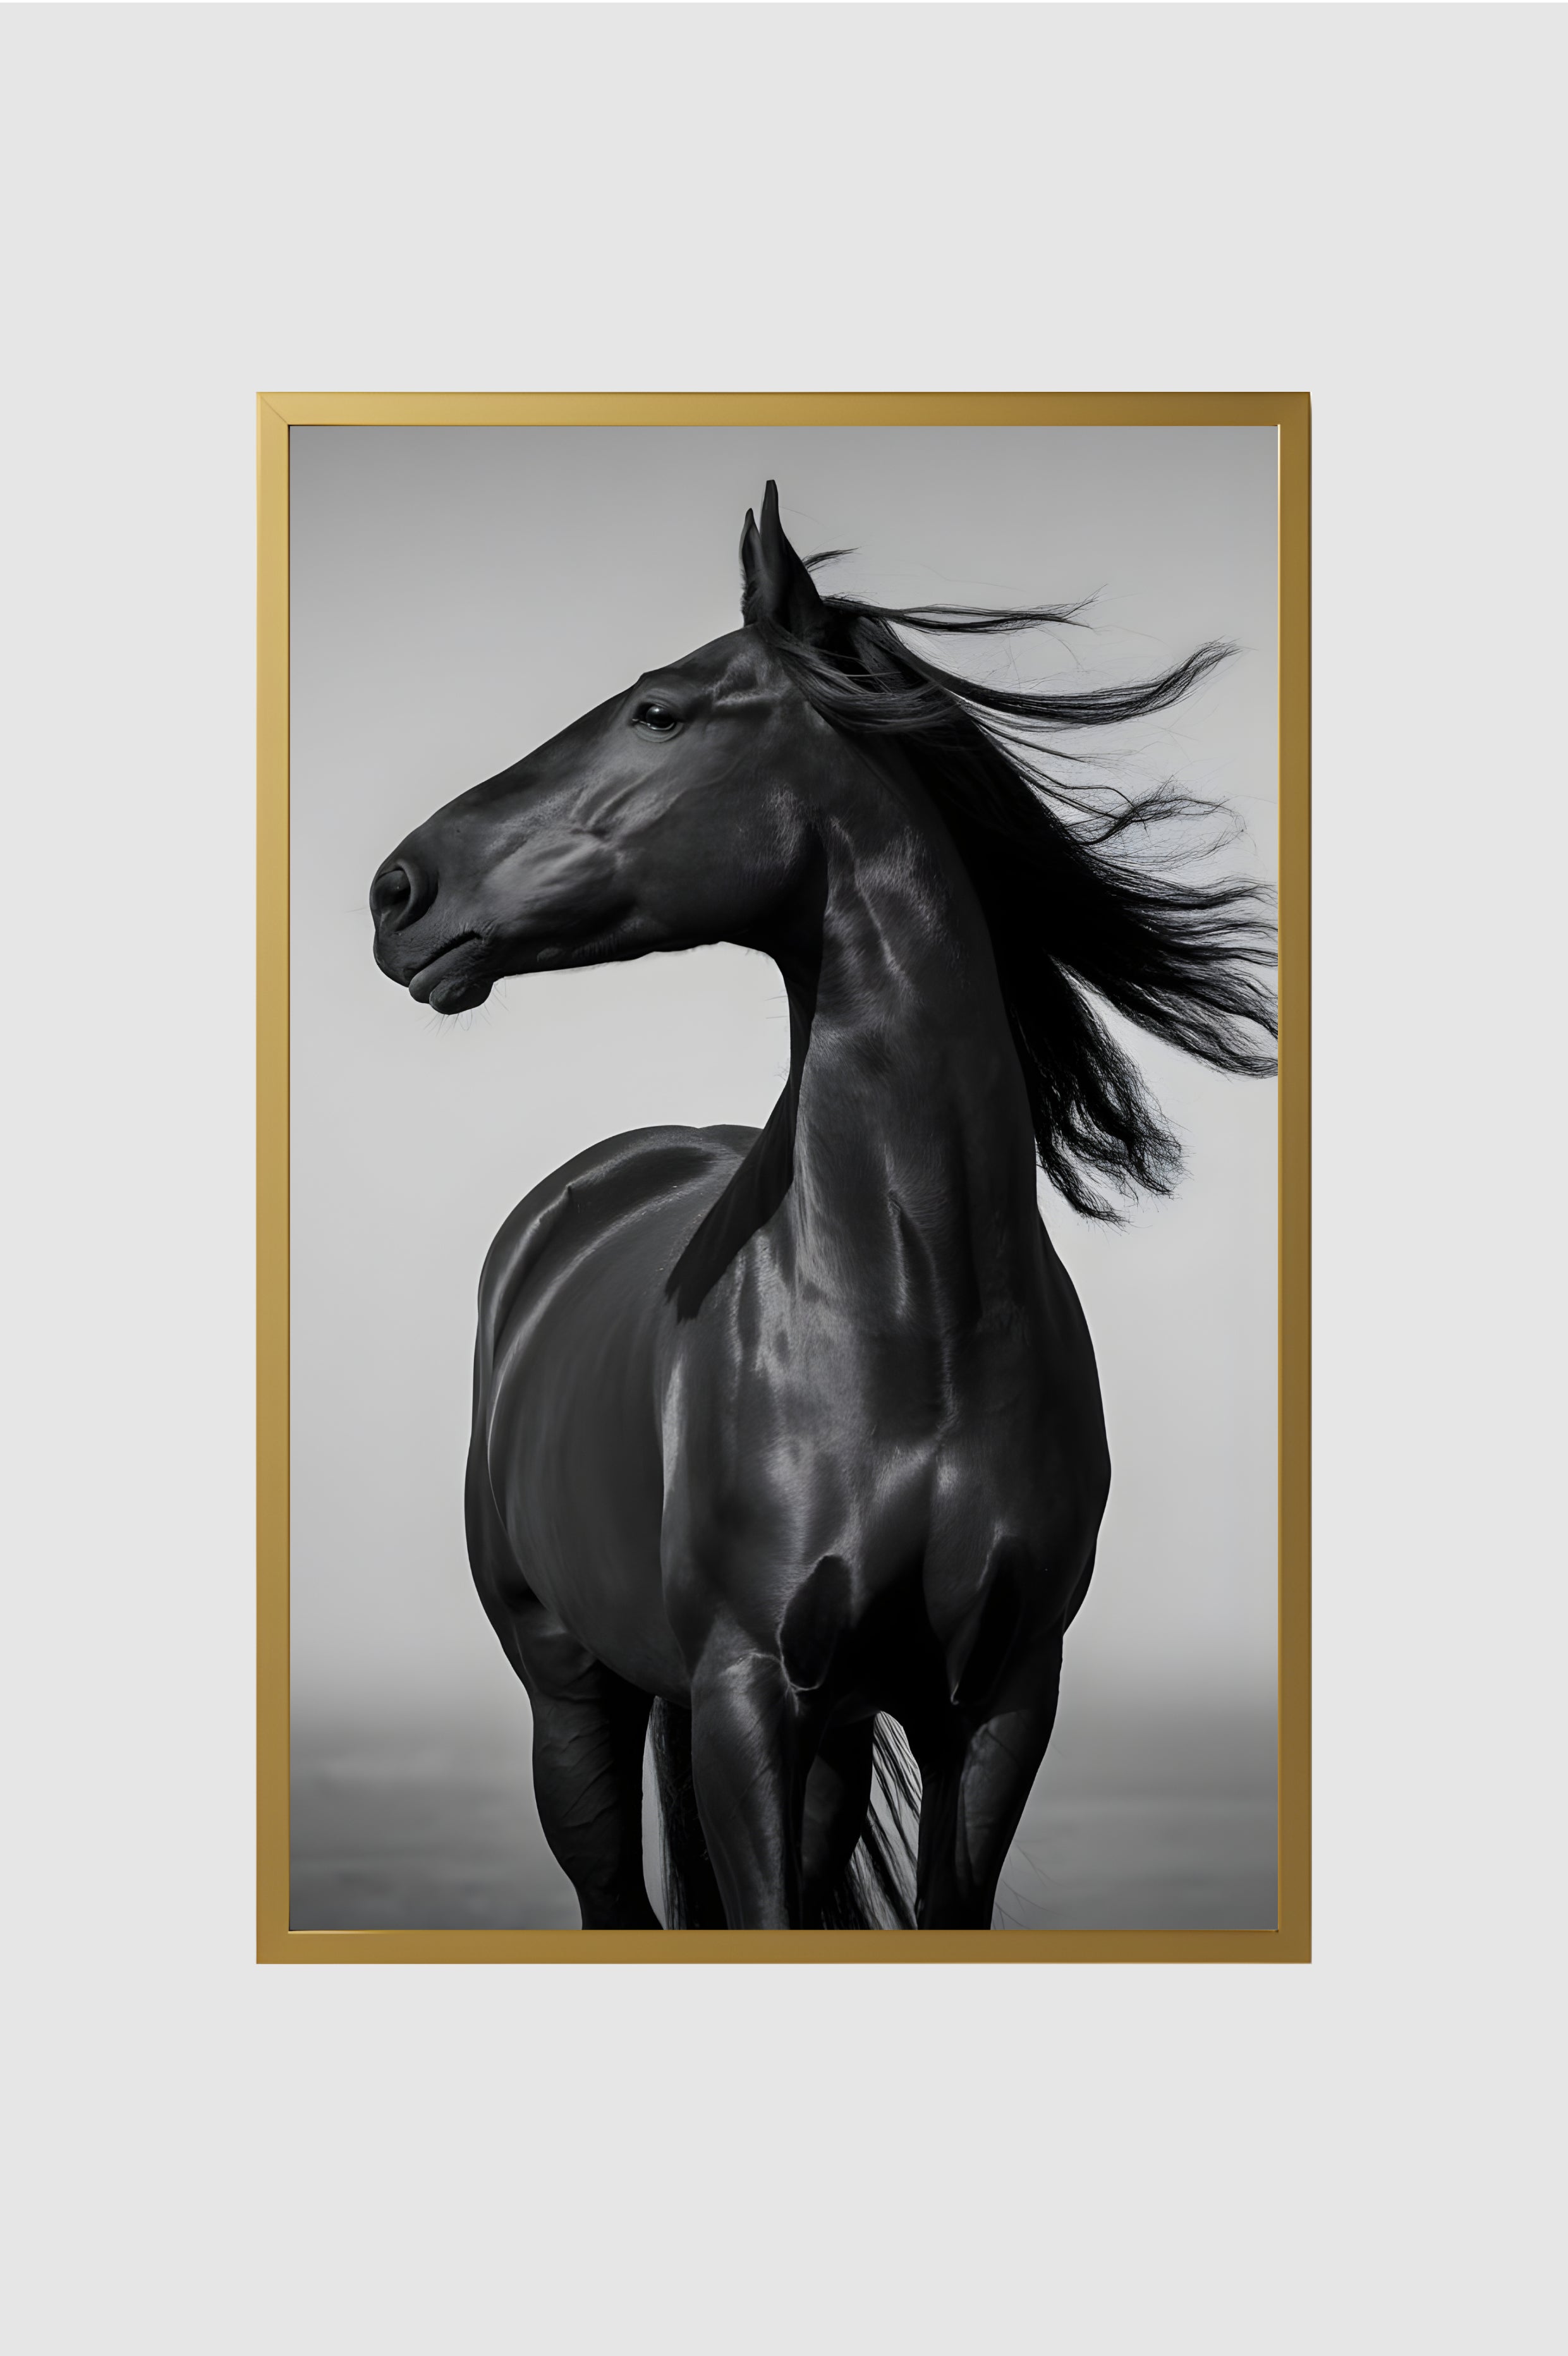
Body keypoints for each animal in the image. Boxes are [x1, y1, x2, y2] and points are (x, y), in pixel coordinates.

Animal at [369, 484, 1276, 1931]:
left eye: (662, 710)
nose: (398, 890)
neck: (912, 1312)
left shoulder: (997, 1702)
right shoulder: (751, 1691)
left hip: (829, 1732)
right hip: (571, 1688)